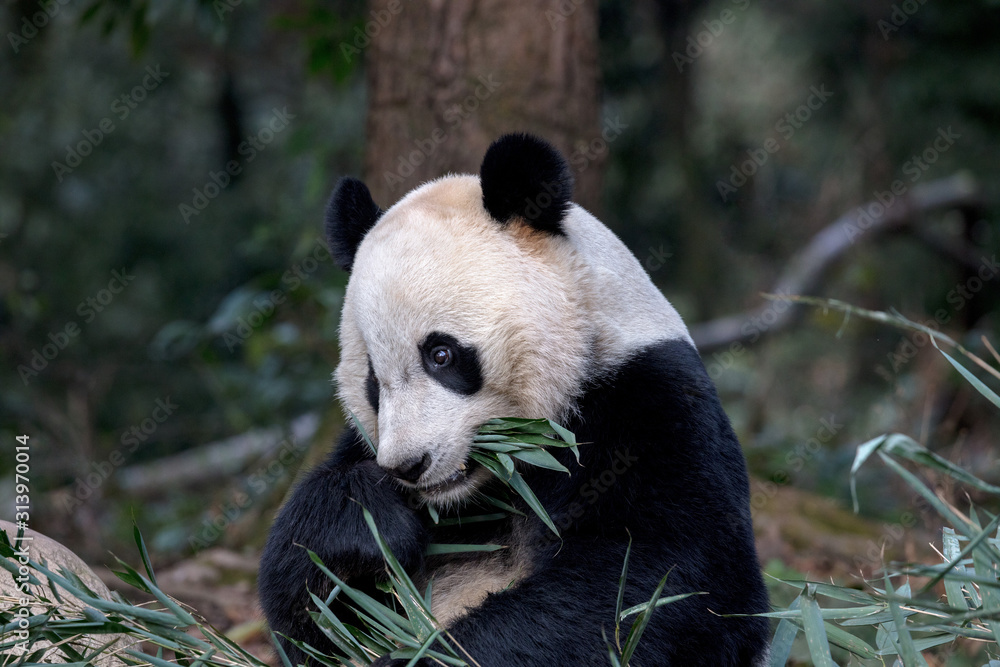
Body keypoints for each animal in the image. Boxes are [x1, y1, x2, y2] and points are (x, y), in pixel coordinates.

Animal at [258, 133, 770, 666]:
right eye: (373, 382)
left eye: (441, 354)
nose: (409, 466)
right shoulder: (369, 453)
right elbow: (318, 621)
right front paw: (369, 520)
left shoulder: (649, 402)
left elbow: (660, 585)